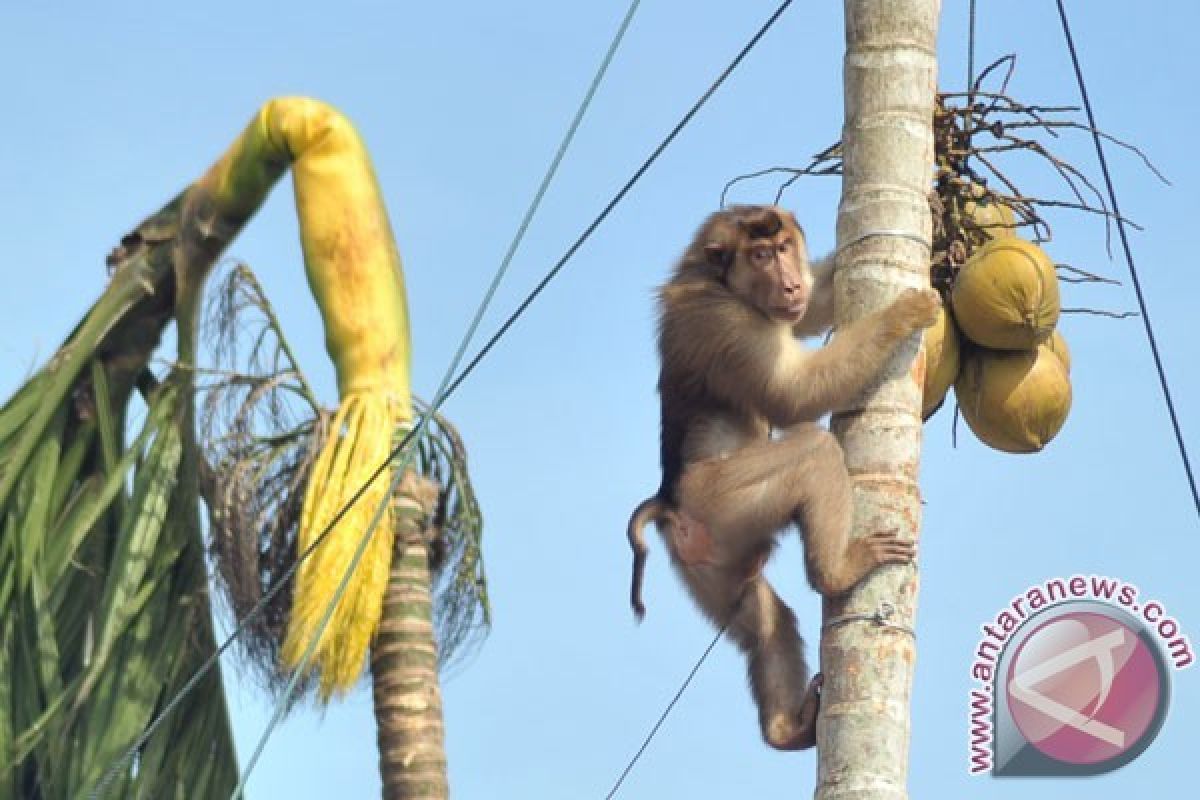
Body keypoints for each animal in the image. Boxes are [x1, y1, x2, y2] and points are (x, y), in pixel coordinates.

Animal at [628, 205, 936, 753]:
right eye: (760, 255)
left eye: (785, 247)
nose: (789, 282)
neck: (715, 277)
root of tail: (671, 501)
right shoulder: (726, 320)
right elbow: (793, 395)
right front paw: (904, 314)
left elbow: (812, 309)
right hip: (723, 501)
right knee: (813, 449)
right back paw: (836, 571)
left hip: (709, 565)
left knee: (761, 624)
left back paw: (784, 728)